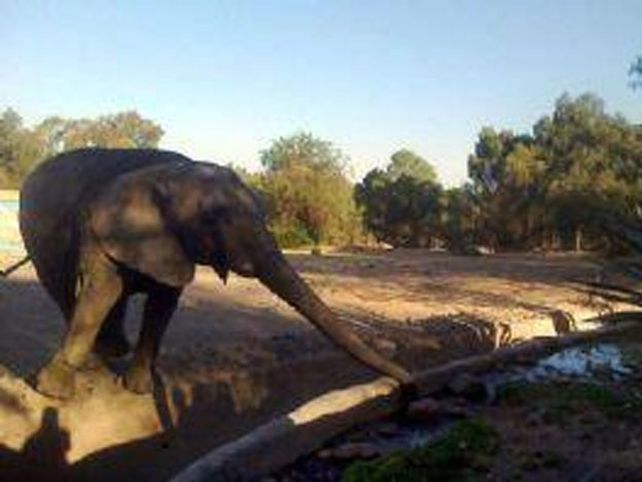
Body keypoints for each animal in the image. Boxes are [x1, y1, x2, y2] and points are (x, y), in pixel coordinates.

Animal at [19, 148, 413, 399]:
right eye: (211, 217)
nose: (410, 386)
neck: (170, 173)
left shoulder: (171, 244)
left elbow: (163, 304)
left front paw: (139, 389)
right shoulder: (101, 228)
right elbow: (102, 289)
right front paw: (52, 393)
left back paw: (114, 350)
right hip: (38, 234)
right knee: (62, 287)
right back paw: (97, 358)